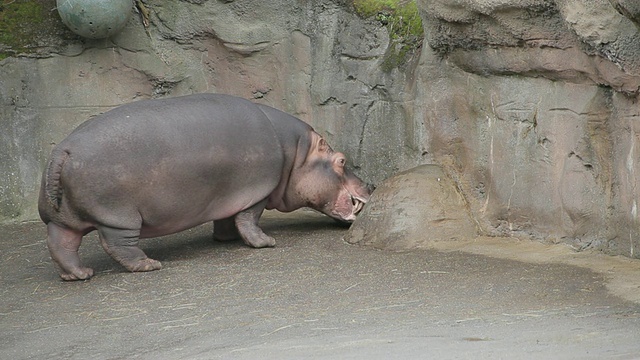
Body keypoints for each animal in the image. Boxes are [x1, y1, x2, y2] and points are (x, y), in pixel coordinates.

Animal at [38, 93, 370, 282]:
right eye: (341, 160)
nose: (371, 184)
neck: (296, 153)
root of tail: (62, 151)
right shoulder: (257, 191)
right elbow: (249, 219)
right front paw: (266, 243)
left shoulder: (231, 194)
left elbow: (226, 218)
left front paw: (225, 239)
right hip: (119, 216)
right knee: (117, 244)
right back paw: (149, 265)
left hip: (62, 218)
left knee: (61, 243)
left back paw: (79, 275)